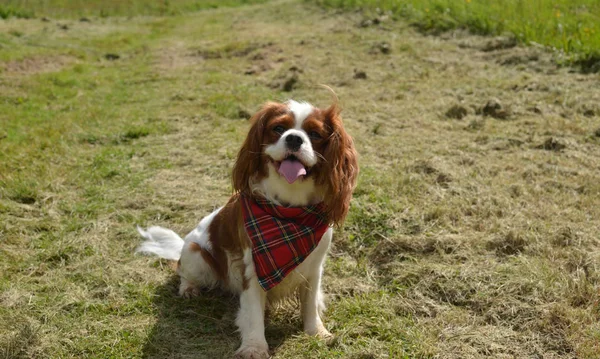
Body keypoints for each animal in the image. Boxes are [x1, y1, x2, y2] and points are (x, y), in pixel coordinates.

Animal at [138, 99, 358, 359]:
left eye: (315, 134)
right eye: (278, 129)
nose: (294, 139)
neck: (289, 211)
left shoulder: (314, 268)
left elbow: (310, 303)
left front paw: (317, 333)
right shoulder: (252, 270)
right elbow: (253, 313)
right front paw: (254, 347)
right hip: (195, 253)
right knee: (182, 271)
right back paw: (189, 288)